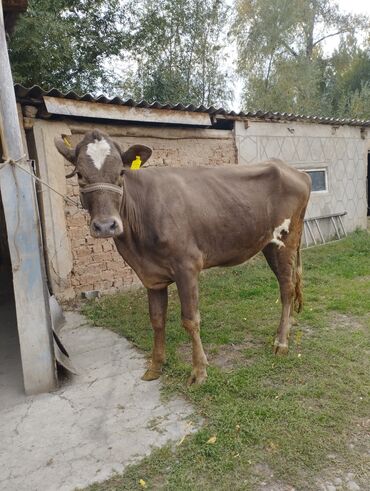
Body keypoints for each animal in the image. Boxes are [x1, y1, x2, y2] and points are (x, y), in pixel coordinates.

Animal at [54, 131, 310, 384]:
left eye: (121, 173)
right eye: (79, 174)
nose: (106, 225)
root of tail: (296, 171)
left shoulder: (187, 266)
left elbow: (190, 319)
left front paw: (199, 371)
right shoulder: (151, 275)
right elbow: (157, 319)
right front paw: (155, 366)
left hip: (285, 241)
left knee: (286, 288)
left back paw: (281, 342)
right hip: (269, 244)